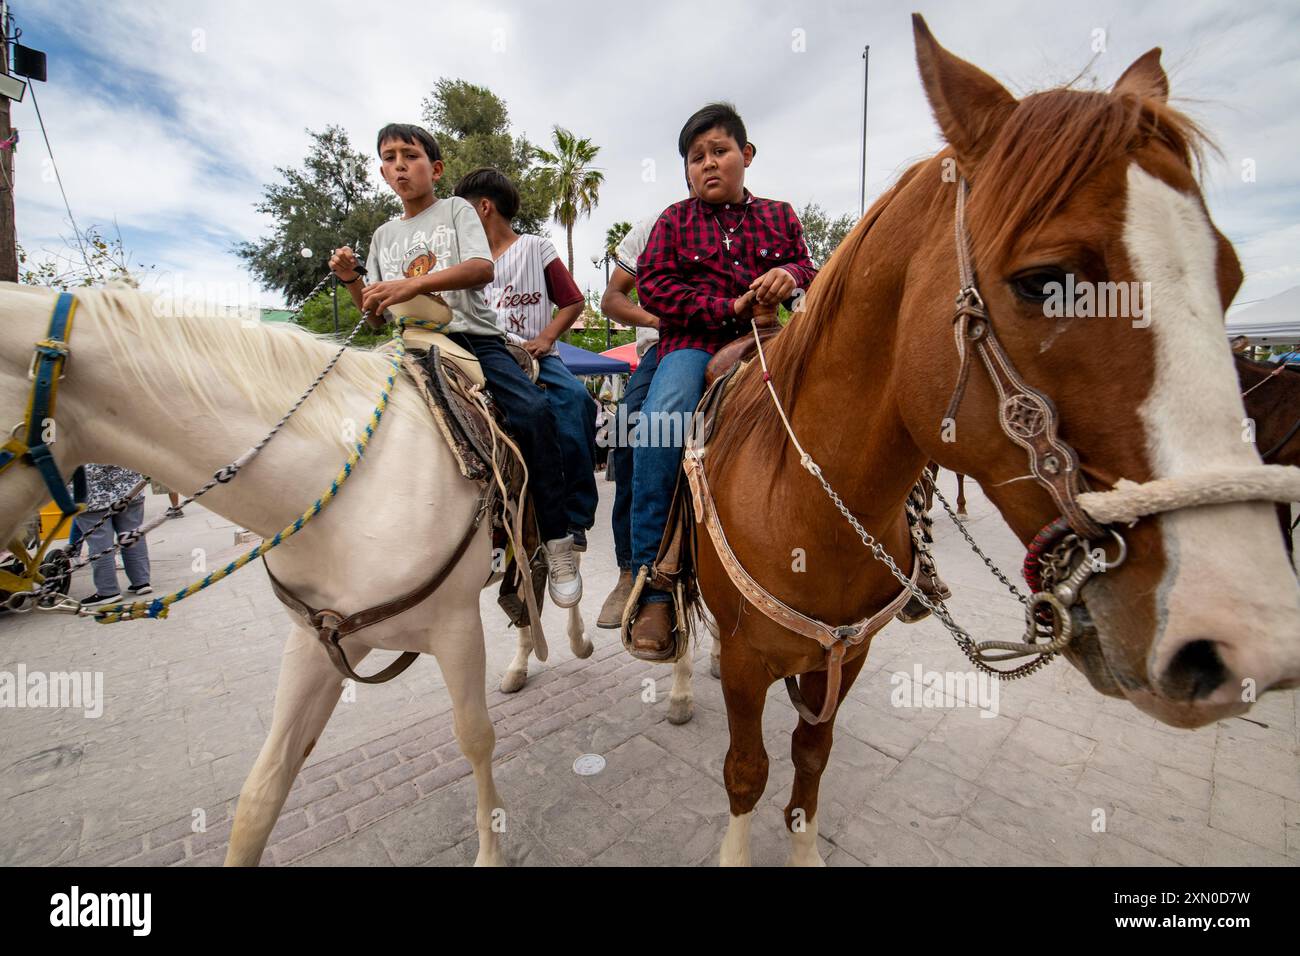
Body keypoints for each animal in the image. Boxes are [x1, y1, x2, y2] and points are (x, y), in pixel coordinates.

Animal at [696, 16, 1294, 868]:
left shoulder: (846, 657)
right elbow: (746, 769)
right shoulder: (750, 665)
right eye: (1045, 279)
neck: (808, 508)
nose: (1242, 639)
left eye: (1233, 277)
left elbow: (812, 759)